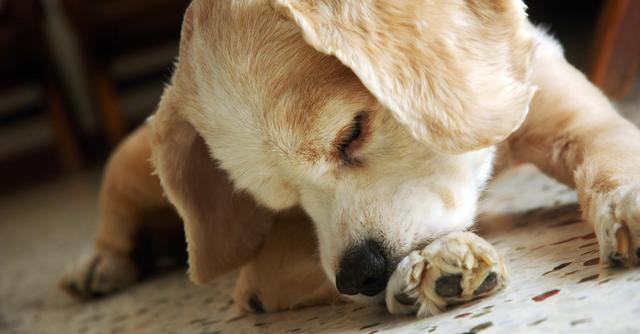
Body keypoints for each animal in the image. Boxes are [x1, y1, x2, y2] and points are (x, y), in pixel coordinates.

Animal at [58, 0, 640, 318]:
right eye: (281, 202)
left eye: (351, 133)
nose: (360, 275)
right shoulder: (264, 273)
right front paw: (430, 266)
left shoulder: (574, 116)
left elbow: (611, 149)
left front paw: (626, 204)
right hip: (131, 164)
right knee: (114, 213)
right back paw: (100, 264)